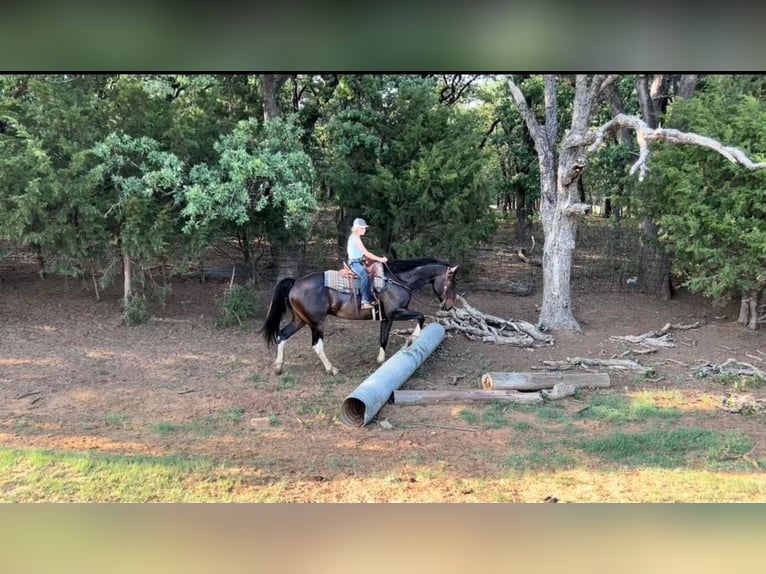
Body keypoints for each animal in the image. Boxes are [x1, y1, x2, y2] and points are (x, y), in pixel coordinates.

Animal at [260, 258, 460, 376]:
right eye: (452, 283)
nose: (449, 305)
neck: (398, 280)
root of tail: (295, 282)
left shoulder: (387, 318)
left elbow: (383, 338)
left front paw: (380, 359)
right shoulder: (396, 312)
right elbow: (420, 317)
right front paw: (413, 338)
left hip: (300, 320)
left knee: (282, 334)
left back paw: (278, 366)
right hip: (316, 322)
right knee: (316, 345)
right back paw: (331, 369)